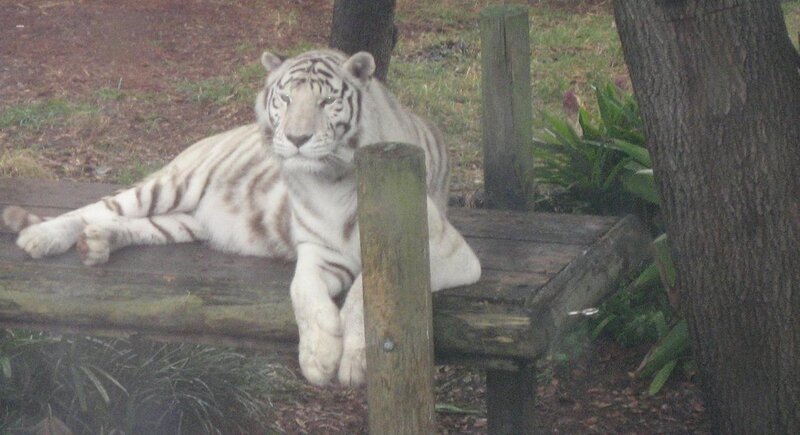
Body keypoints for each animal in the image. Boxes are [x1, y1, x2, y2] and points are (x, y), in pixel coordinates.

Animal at [2, 49, 482, 387]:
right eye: (286, 98)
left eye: (327, 101)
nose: (297, 138)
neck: (330, 180)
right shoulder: (319, 250)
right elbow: (302, 290)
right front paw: (319, 356)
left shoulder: (444, 253)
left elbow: (369, 291)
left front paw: (349, 362)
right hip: (171, 186)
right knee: (99, 207)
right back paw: (42, 237)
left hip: (184, 222)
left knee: (133, 225)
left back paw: (96, 242)